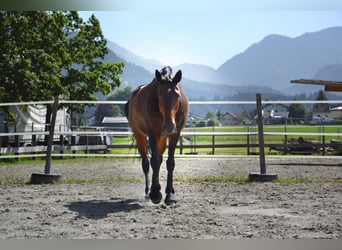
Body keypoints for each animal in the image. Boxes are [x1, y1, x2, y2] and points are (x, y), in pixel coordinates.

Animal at [125, 66, 188, 205]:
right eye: (159, 95)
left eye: (177, 95)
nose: (170, 125)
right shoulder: (153, 134)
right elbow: (154, 161)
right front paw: (155, 193)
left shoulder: (175, 135)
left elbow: (170, 163)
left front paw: (169, 195)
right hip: (140, 135)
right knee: (146, 163)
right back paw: (148, 191)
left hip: (162, 139)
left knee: (159, 159)